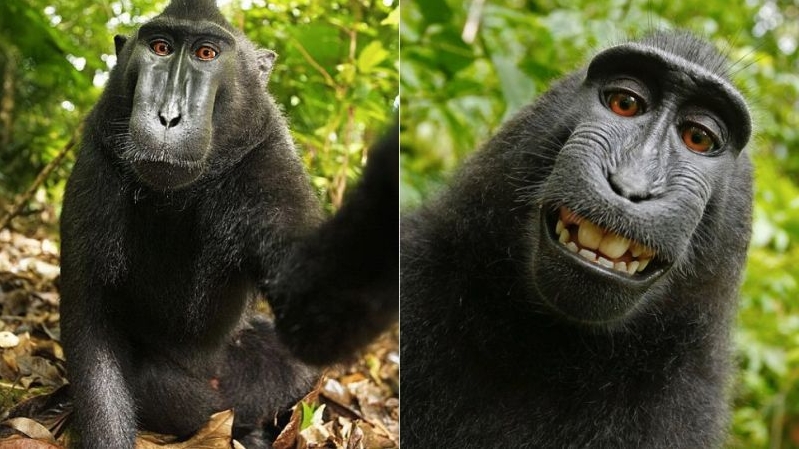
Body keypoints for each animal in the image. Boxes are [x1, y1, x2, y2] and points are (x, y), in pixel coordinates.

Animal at [58, 1, 397, 448]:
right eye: (161, 47)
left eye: (206, 54)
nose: (168, 117)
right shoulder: (98, 161)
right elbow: (90, 322)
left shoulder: (269, 162)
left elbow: (315, 316)